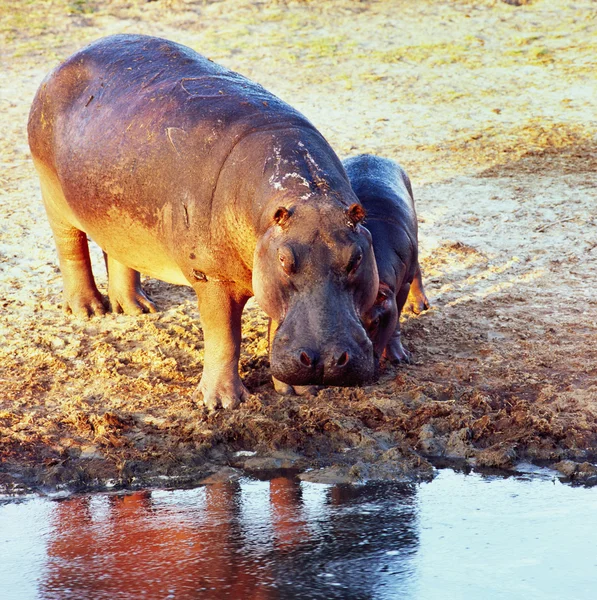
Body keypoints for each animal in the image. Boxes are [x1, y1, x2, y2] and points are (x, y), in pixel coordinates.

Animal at [28, 35, 378, 410]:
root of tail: (62, 64)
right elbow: (225, 338)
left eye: (356, 258)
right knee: (70, 247)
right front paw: (223, 403)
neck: (308, 199)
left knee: (120, 252)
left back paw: (138, 309)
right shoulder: (213, 277)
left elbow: (276, 327)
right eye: (285, 260)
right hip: (52, 193)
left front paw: (299, 391)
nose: (325, 362)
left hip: (114, 209)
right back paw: (89, 311)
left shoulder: (265, 270)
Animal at [340, 155, 428, 364]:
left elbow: (395, 321)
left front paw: (399, 358)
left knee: (417, 270)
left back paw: (420, 307)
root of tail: (368, 155)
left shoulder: (399, 288)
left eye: (376, 321)